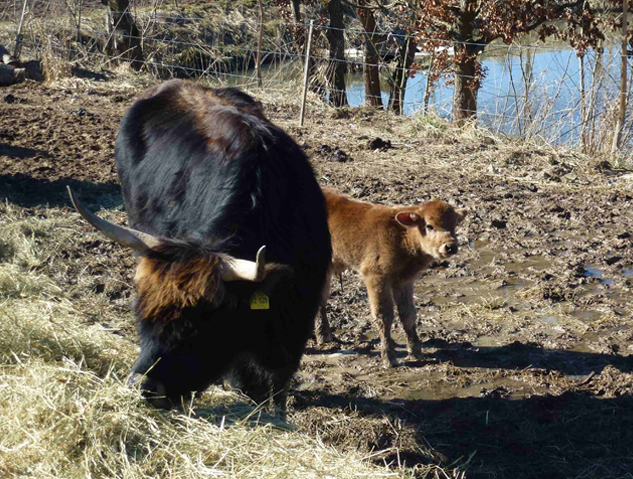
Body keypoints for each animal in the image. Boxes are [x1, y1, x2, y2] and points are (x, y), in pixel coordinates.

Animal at [318, 188, 466, 368]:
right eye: (429, 226)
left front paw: (415, 351)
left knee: (321, 298)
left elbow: (408, 314)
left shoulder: (404, 280)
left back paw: (324, 335)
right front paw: (388, 357)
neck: (401, 235)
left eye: (454, 225)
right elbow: (384, 316)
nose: (450, 246)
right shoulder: (376, 277)